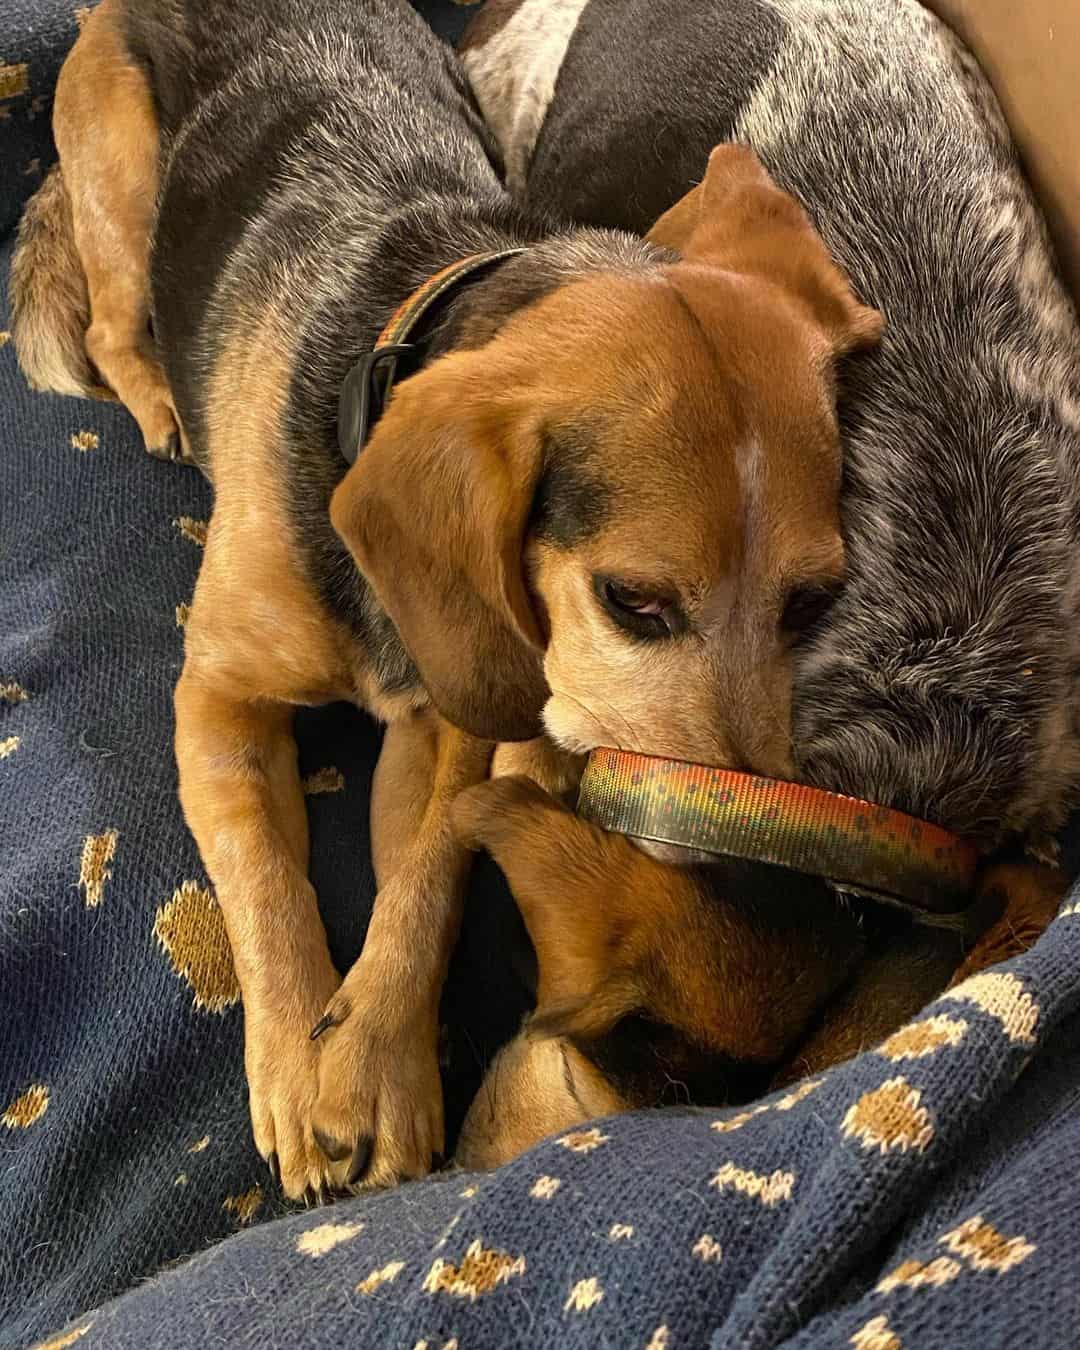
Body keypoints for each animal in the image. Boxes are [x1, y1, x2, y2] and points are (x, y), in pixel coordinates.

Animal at [8, 0, 874, 1198]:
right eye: (635, 602)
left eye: (810, 602)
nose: (762, 873)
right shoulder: (215, 701)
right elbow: (265, 883)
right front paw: (299, 1073)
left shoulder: (446, 725)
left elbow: (427, 879)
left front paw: (371, 1064)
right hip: (125, 187)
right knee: (109, 324)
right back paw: (159, 407)